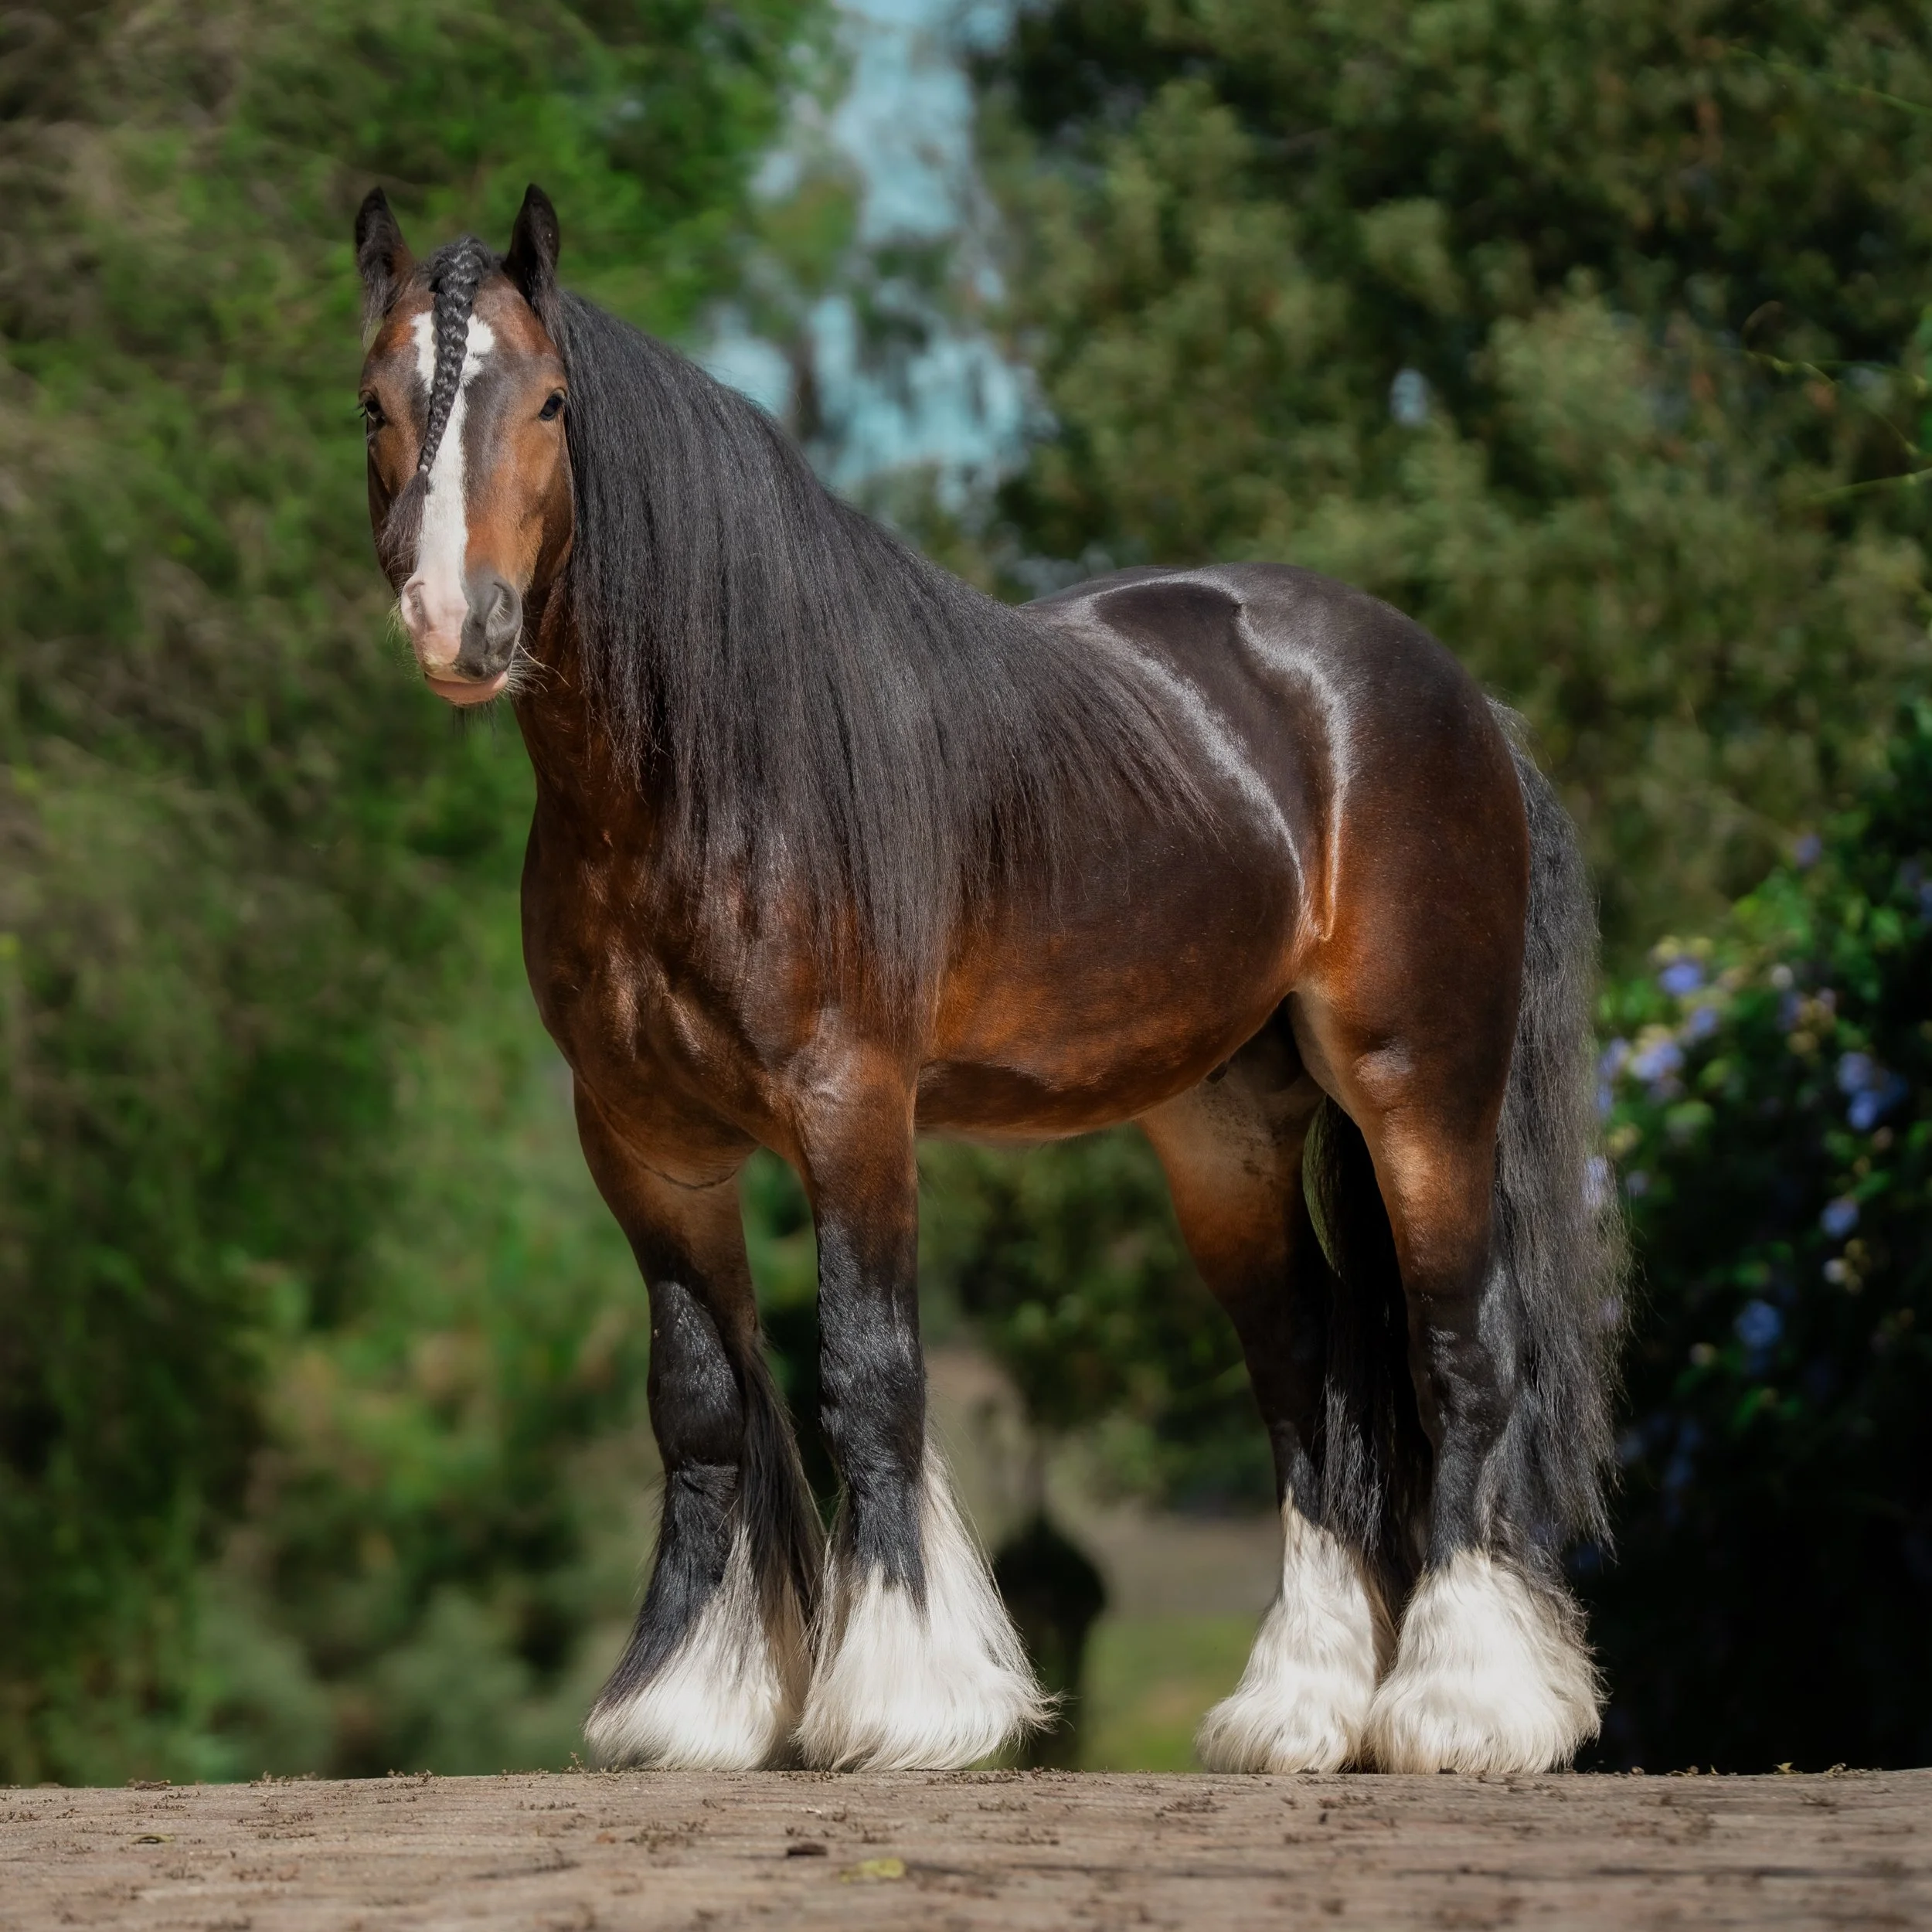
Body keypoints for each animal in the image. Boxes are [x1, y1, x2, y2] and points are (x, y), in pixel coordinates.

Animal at [351, 183, 1625, 1776]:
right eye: (376, 400)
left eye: (550, 401)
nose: (455, 623)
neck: (706, 777)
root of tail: (1454, 697)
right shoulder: (645, 1142)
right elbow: (699, 1400)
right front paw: (686, 1703)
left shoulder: (851, 1109)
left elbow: (869, 1374)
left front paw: (907, 1698)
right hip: (1226, 1133)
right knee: (1310, 1374)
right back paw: (1299, 1709)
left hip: (1418, 1089)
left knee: (1460, 1355)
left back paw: (1464, 1705)